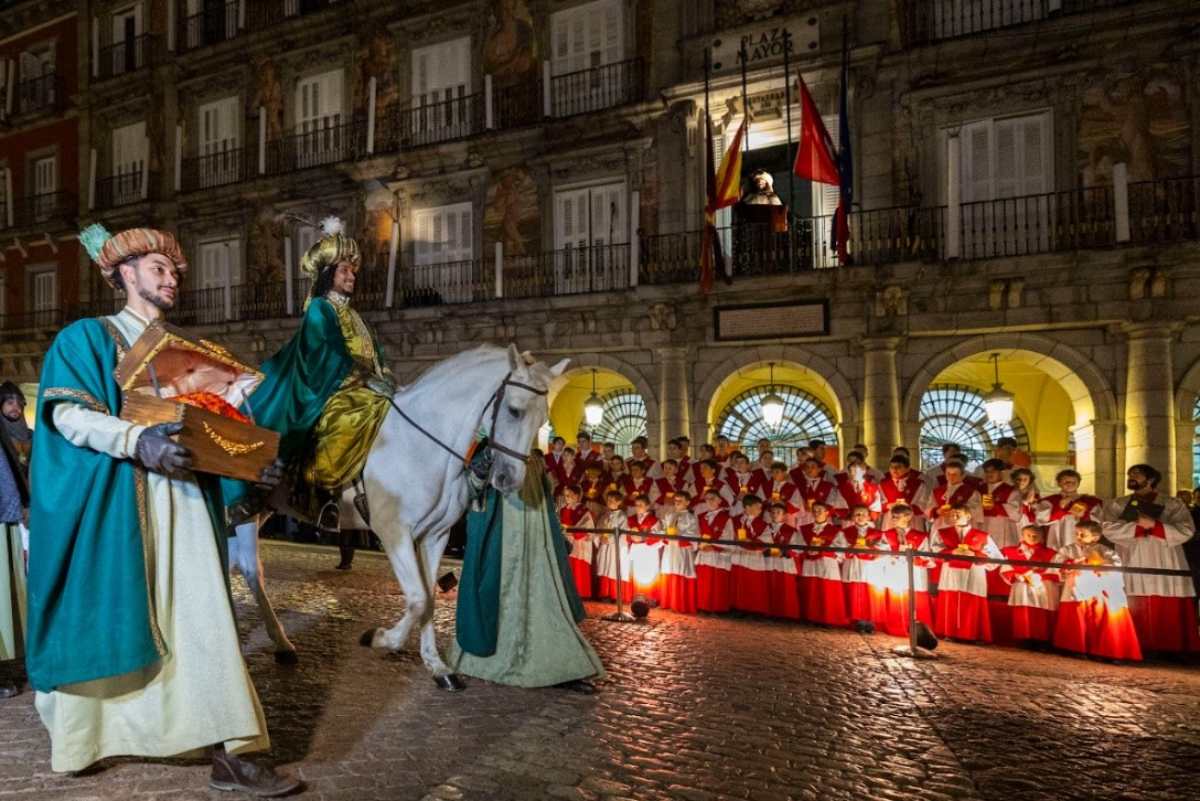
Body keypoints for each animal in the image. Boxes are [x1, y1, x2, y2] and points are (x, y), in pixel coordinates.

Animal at [237, 345, 571, 690]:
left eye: (543, 420)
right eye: (515, 411)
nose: (509, 480)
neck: (421, 444)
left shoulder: (436, 536)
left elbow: (430, 598)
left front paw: (437, 666)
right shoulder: (393, 532)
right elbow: (418, 598)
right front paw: (380, 638)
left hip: (262, 510)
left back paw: (279, 644)